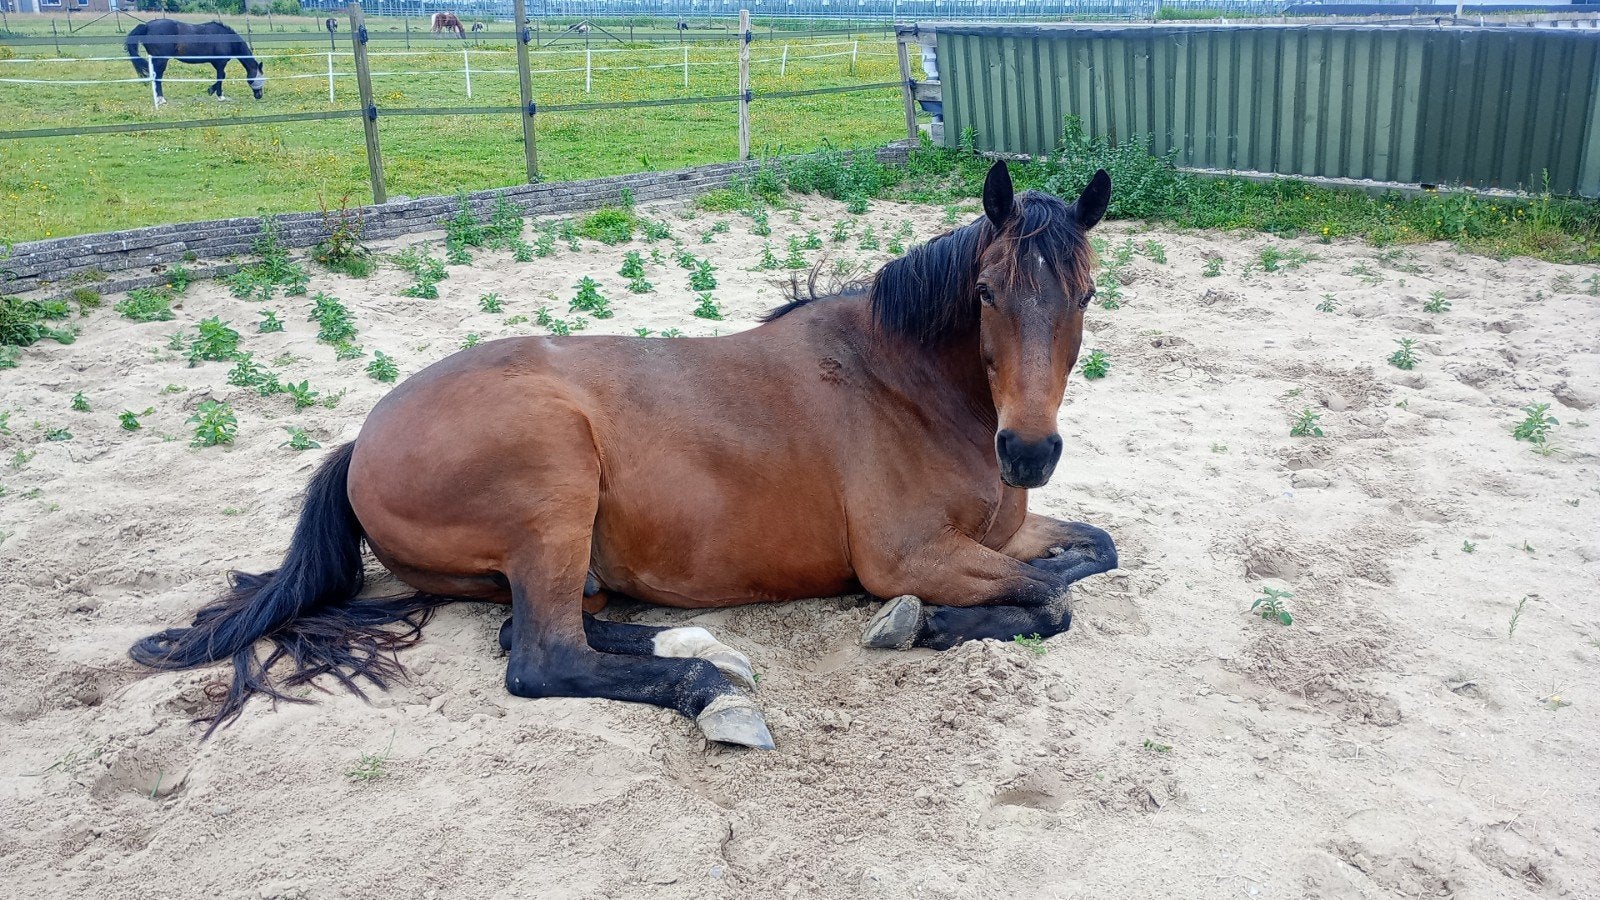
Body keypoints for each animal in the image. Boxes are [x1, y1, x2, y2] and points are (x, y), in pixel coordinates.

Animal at [125, 18, 264, 107]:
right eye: (260, 79)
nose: (259, 95)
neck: (226, 39)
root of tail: (146, 26)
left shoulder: (216, 63)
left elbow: (221, 77)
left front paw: (210, 90)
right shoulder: (221, 63)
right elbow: (221, 77)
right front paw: (219, 96)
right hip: (161, 61)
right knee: (158, 78)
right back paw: (161, 100)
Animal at [129, 162, 1118, 751]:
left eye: (1087, 293)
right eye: (985, 291)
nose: (1029, 453)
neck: (903, 383)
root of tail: (363, 440)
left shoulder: (1003, 534)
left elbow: (1094, 553)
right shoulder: (907, 555)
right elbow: (1050, 600)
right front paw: (921, 624)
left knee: (544, 627)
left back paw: (699, 644)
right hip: (555, 490)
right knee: (541, 659)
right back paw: (715, 693)